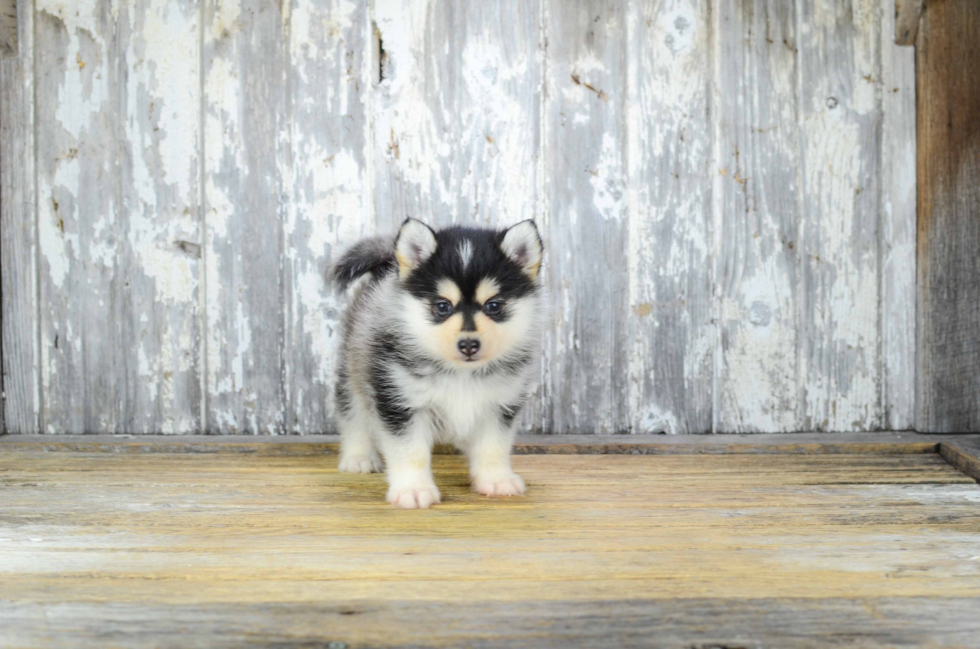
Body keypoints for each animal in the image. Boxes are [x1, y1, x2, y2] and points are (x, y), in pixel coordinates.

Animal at [330, 220, 544, 508]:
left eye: (493, 306)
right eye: (443, 306)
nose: (468, 344)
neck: (462, 373)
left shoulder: (500, 405)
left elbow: (493, 446)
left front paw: (496, 480)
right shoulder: (399, 401)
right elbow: (410, 451)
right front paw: (413, 489)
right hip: (354, 370)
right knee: (353, 415)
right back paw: (358, 457)